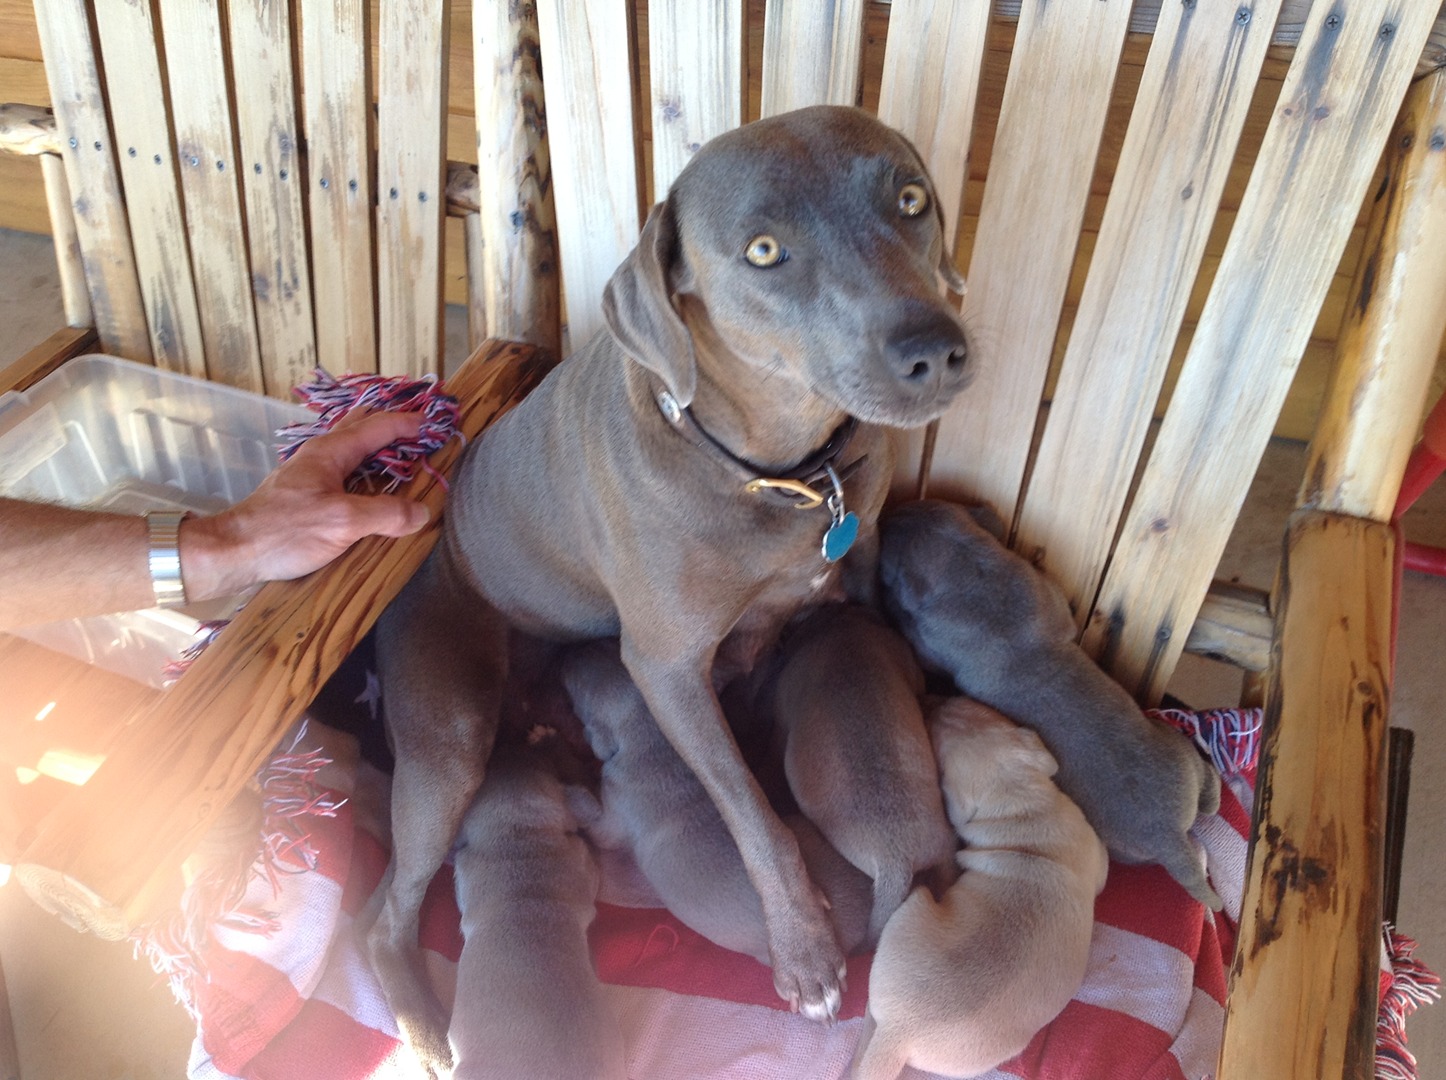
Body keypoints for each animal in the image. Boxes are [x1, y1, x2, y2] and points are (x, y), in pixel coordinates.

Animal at [873, 500, 1226, 913]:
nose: (890, 511)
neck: (969, 568)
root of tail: (1170, 837)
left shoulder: (932, 645)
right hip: (1180, 752)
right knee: (1206, 780)